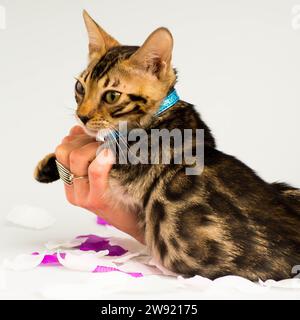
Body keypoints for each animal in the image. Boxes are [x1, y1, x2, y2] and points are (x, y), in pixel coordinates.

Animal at [35, 9, 300, 280]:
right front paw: (46, 165)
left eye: (111, 96)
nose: (82, 116)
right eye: (80, 87)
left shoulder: (128, 165)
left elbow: (97, 145)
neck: (158, 116)